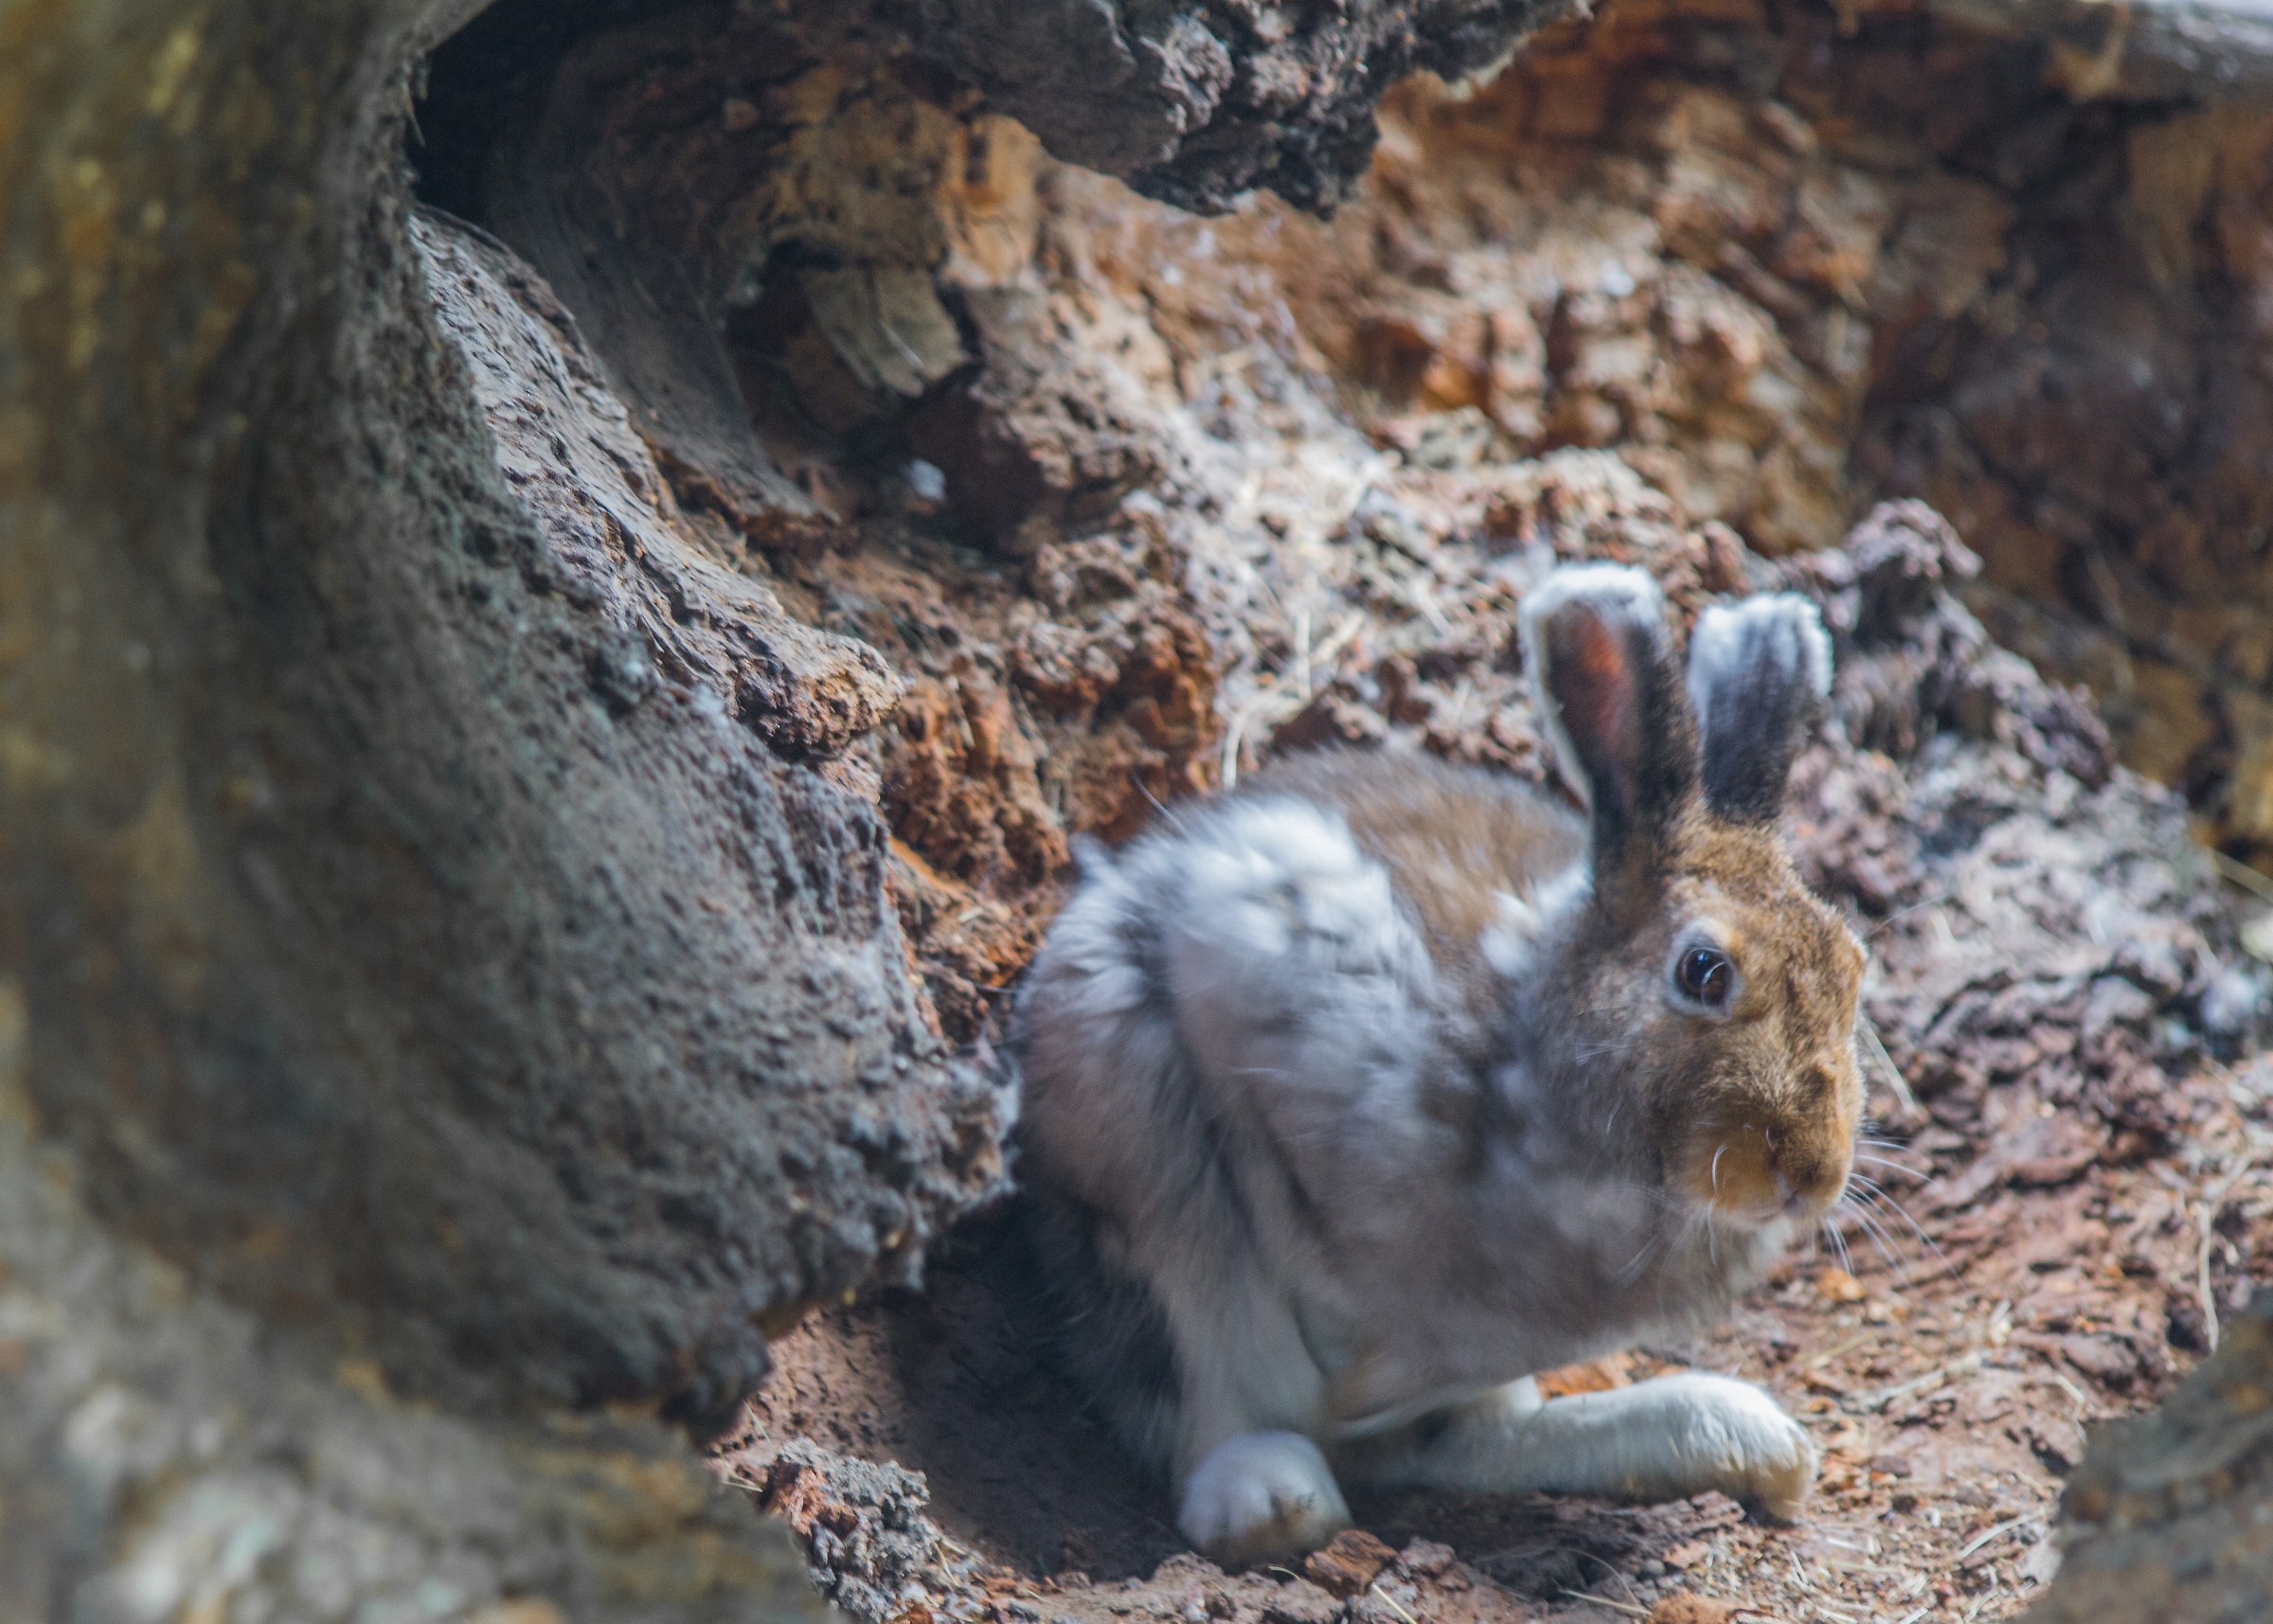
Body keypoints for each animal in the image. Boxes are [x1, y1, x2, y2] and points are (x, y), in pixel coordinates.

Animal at [1012, 563, 1866, 1568]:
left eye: (1855, 968)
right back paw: (1276, 1498)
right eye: (1704, 971)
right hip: (1125, 1104)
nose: (1811, 1173)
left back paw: (1740, 1438)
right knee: (1213, 1372)